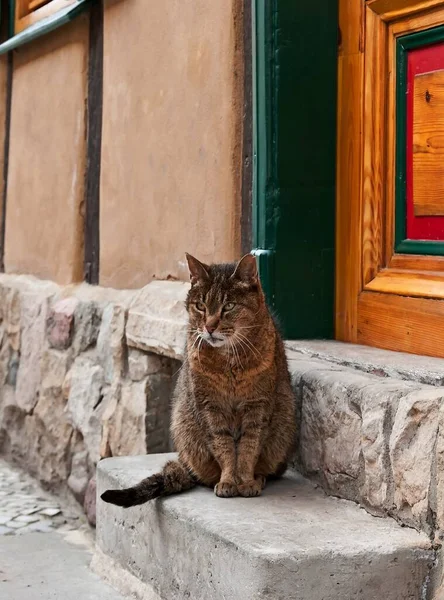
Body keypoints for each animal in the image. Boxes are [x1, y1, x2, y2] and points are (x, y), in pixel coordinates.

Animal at [100, 251, 294, 504]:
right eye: (200, 306)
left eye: (229, 306)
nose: (210, 327)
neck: (228, 362)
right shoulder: (209, 406)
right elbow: (223, 446)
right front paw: (228, 480)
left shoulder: (258, 406)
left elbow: (249, 447)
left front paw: (246, 480)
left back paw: (259, 477)